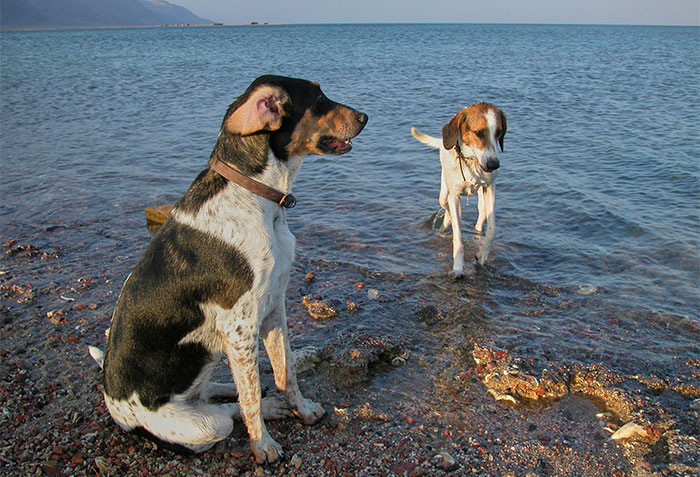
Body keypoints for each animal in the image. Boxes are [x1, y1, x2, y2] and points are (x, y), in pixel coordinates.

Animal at [90, 76, 370, 462]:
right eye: (318, 99)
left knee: (216, 393)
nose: (366, 117)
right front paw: (263, 446)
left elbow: (286, 373)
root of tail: (116, 410)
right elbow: (251, 398)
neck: (256, 195)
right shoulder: (239, 324)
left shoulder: (275, 306)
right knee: (226, 411)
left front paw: (302, 410)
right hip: (204, 423)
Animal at [412, 103, 506, 276]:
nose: (493, 165)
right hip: (444, 193)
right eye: (478, 132)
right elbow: (458, 238)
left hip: (481, 200)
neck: (471, 160)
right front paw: (457, 269)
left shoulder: (489, 188)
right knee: (447, 210)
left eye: (499, 132)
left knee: (481, 217)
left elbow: (492, 230)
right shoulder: (454, 195)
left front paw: (482, 255)